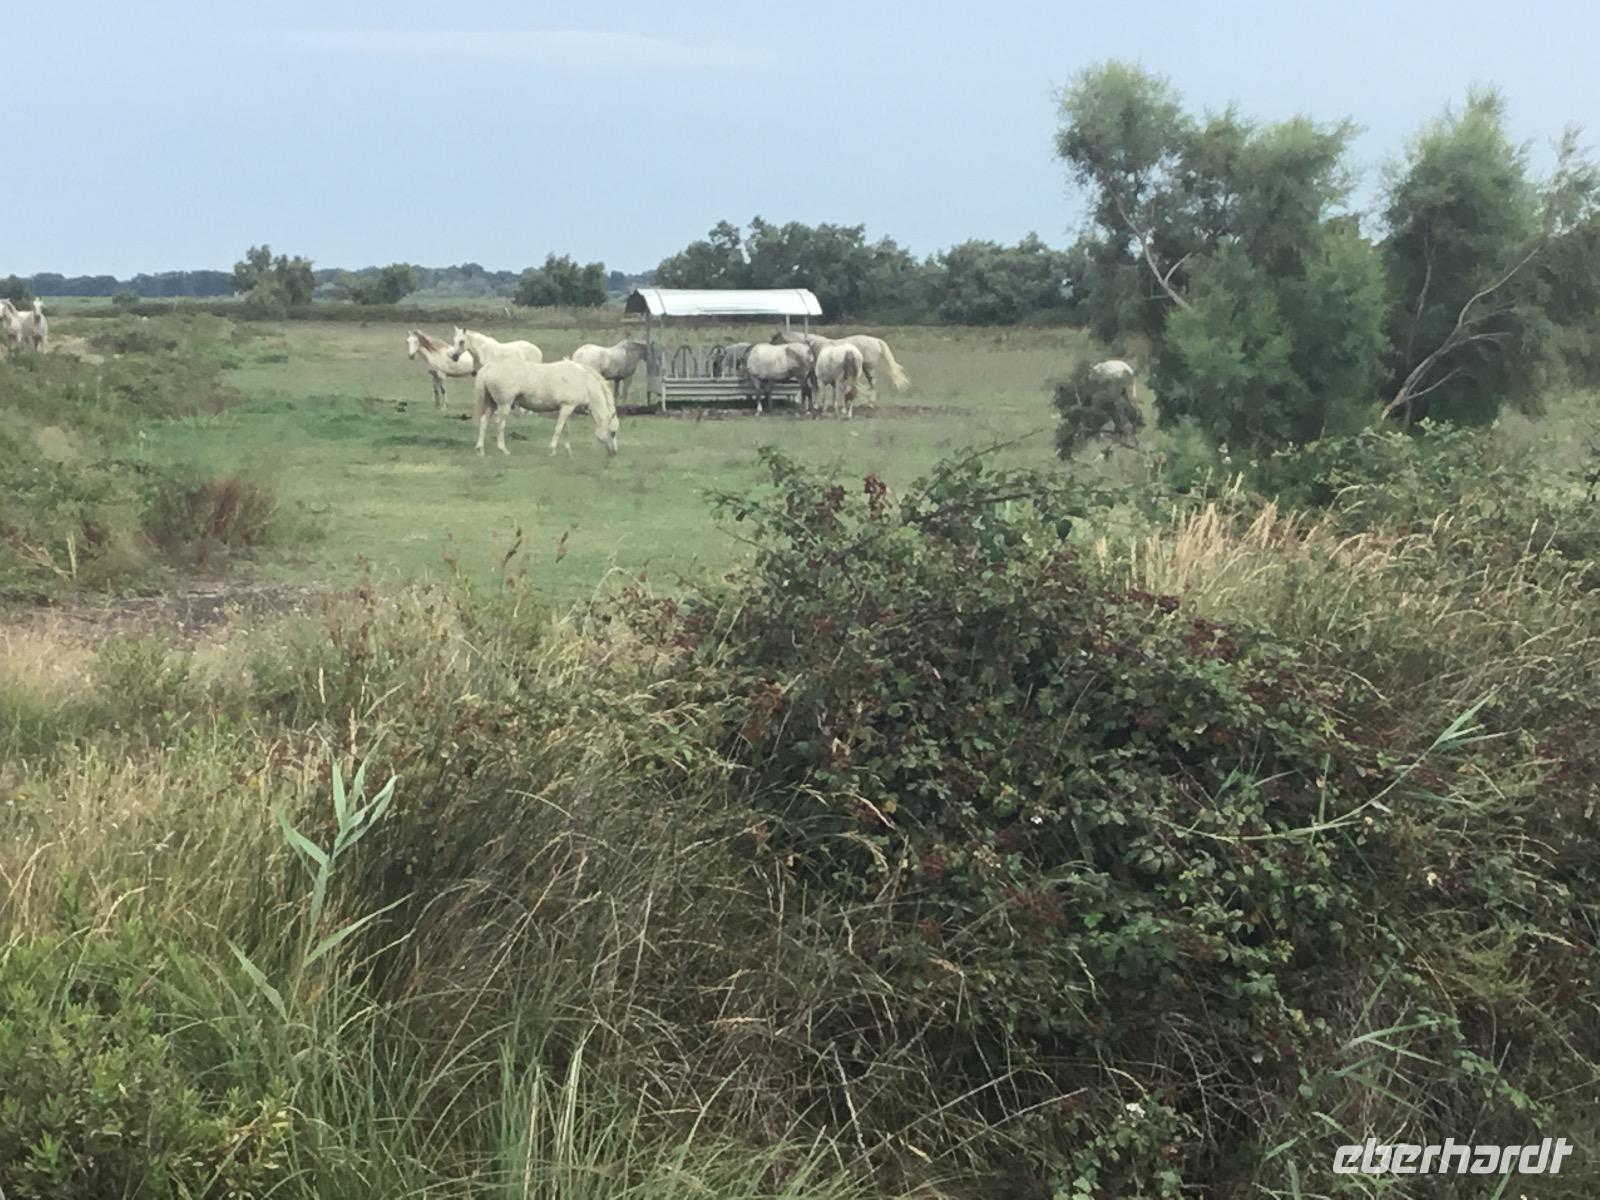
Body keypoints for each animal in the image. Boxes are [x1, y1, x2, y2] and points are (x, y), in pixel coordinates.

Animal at [472, 357, 619, 457]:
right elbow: (558, 429)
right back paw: (503, 449)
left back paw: (480, 449)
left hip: (492, 404)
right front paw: (553, 450)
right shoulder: (567, 407)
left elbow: (565, 429)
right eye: (613, 432)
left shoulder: (565, 408)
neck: (583, 381)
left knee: (484, 421)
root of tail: (488, 368)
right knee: (500, 424)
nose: (613, 453)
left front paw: (568, 451)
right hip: (504, 404)